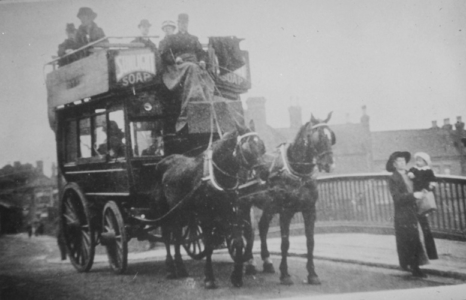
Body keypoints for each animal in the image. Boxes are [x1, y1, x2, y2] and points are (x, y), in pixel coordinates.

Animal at [154, 120, 266, 290]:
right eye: (247, 148)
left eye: (262, 146)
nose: (264, 173)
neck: (216, 174)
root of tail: (163, 161)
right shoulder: (205, 217)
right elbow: (208, 245)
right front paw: (209, 278)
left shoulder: (232, 213)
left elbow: (238, 241)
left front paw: (236, 277)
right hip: (166, 211)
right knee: (167, 237)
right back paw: (170, 269)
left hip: (181, 213)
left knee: (178, 237)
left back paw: (181, 268)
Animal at [244, 112, 334, 284]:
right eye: (319, 137)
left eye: (331, 137)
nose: (329, 165)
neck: (298, 173)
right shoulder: (286, 212)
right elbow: (285, 243)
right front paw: (285, 274)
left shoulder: (309, 210)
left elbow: (310, 241)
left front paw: (312, 274)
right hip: (243, 205)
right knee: (247, 232)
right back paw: (250, 263)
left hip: (269, 207)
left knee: (262, 227)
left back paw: (267, 262)